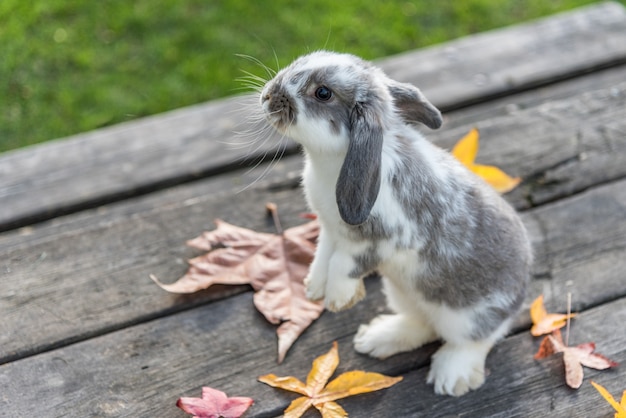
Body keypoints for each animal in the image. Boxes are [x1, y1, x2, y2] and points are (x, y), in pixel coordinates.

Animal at [258, 50, 532, 396]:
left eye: (323, 93)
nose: (268, 95)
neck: (334, 159)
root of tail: (521, 291)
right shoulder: (329, 231)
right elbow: (322, 257)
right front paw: (313, 289)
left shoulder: (379, 241)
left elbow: (343, 265)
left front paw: (337, 299)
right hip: (402, 294)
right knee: (422, 323)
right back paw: (376, 338)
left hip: (469, 316)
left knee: (476, 339)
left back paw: (450, 377)